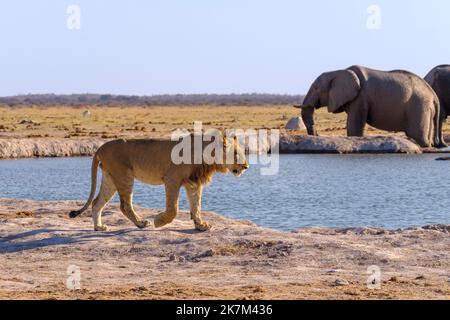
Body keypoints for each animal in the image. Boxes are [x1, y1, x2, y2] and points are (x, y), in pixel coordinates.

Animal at [69, 134, 250, 231]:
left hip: (110, 178)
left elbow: (196, 206)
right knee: (125, 205)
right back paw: (142, 223)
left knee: (96, 203)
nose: (246, 166)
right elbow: (174, 209)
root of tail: (100, 148)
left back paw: (99, 227)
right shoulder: (172, 179)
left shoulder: (193, 183)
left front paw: (200, 225)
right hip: (124, 176)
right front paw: (159, 221)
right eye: (236, 153)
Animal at [296, 66, 446, 149]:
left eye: (316, 88)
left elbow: (354, 126)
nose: (316, 135)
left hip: (419, 106)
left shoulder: (361, 97)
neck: (339, 71)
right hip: (426, 108)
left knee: (418, 135)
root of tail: (433, 95)